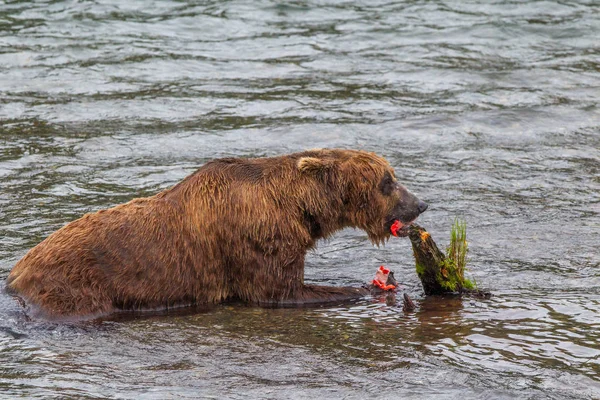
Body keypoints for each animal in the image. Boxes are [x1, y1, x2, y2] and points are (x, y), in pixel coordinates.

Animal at [4, 148, 426, 320]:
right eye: (388, 181)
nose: (420, 204)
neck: (297, 209)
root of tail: (15, 273)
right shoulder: (256, 238)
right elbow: (280, 291)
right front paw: (371, 288)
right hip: (75, 284)